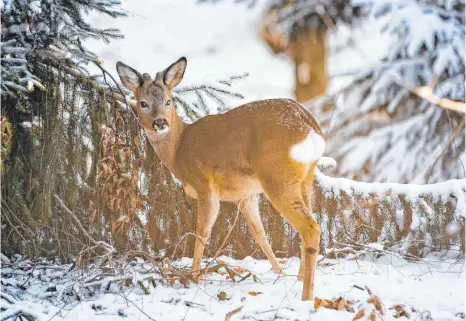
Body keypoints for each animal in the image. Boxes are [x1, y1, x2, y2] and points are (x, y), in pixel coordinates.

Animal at [116, 57, 324, 300]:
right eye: (143, 103)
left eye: (168, 101)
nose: (160, 123)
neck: (177, 150)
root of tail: (309, 125)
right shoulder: (245, 196)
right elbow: (259, 233)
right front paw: (280, 274)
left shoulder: (204, 185)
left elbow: (202, 233)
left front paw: (194, 277)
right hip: (305, 179)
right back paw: (299, 280)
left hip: (277, 177)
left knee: (311, 228)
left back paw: (306, 296)